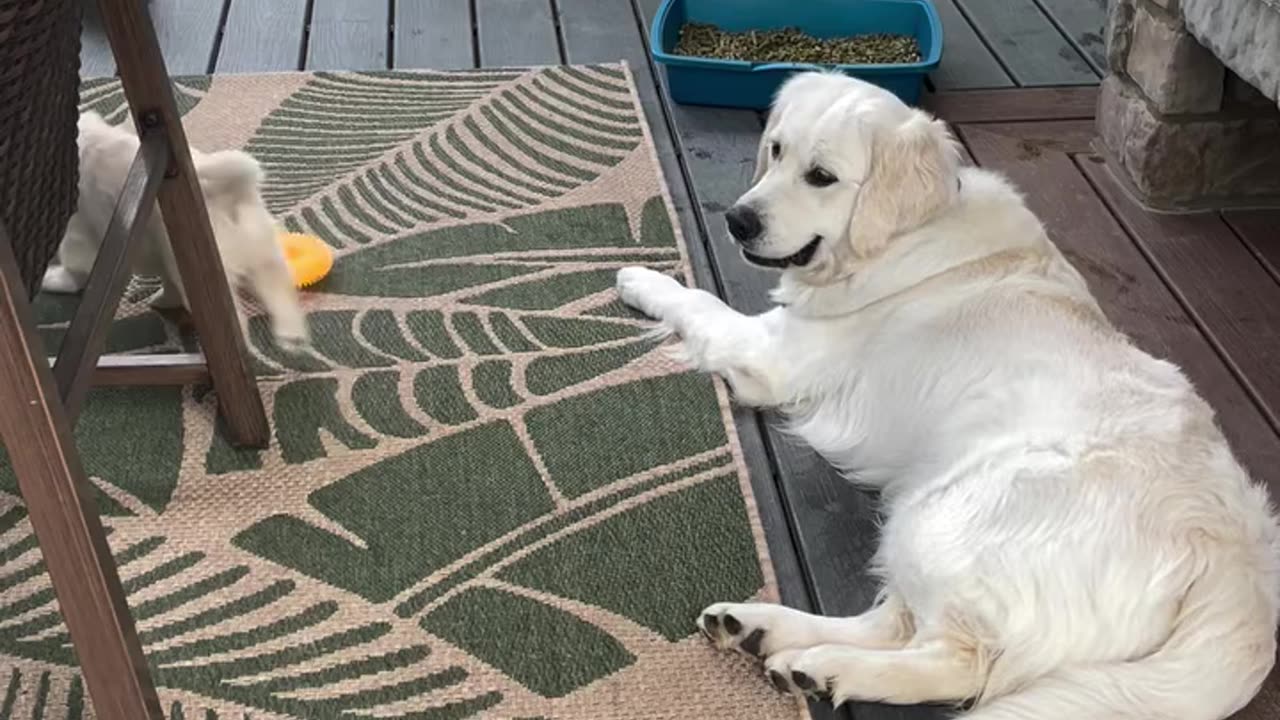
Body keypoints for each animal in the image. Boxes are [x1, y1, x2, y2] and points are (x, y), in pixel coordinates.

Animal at [43, 110, 308, 348]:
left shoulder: (78, 231)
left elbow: (75, 266)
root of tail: (227, 189)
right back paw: (291, 336)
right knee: (277, 285)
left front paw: (53, 278)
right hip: (259, 247)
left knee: (233, 318)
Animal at [614, 73, 1274, 717]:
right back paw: (767, 634)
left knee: (958, 659)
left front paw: (641, 278)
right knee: (899, 623)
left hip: (945, 517)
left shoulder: (773, 356)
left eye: (821, 176)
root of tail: (1237, 565)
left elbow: (700, 301)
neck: (904, 235)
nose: (739, 220)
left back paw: (826, 666)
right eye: (775, 150)